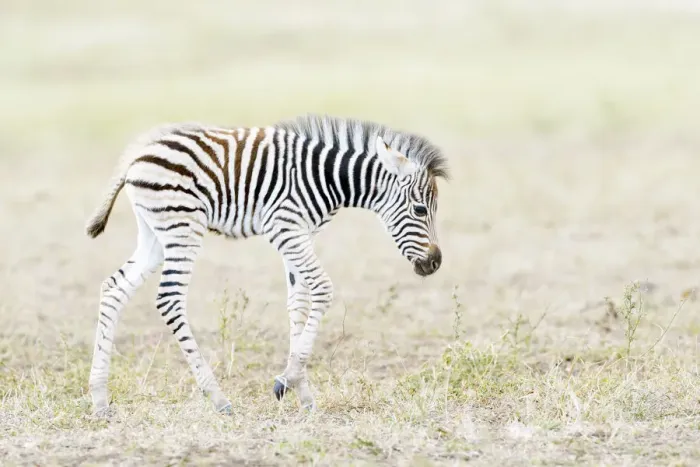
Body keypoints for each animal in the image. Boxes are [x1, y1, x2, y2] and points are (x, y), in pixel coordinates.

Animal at [84, 114, 448, 416]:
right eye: (419, 210)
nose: (435, 263)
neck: (326, 177)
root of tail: (140, 153)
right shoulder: (284, 227)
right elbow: (322, 289)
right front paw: (287, 381)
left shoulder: (301, 234)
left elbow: (298, 302)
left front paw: (302, 391)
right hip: (182, 226)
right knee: (169, 298)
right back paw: (217, 397)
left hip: (154, 234)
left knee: (114, 288)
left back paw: (100, 398)